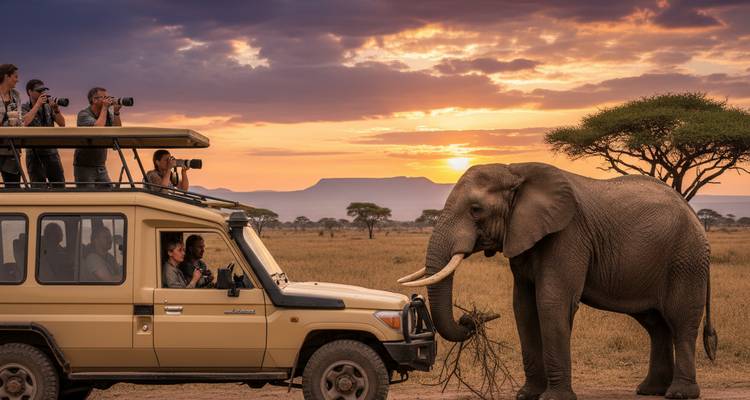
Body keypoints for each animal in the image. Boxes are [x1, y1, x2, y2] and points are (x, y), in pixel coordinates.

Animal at [399, 162, 717, 400]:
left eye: (476, 210)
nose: (472, 319)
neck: (515, 172)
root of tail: (693, 213)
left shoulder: (568, 235)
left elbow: (551, 302)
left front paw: (553, 398)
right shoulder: (523, 236)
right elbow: (523, 307)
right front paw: (527, 395)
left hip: (685, 259)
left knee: (680, 321)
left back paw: (680, 393)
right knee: (655, 324)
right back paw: (650, 391)